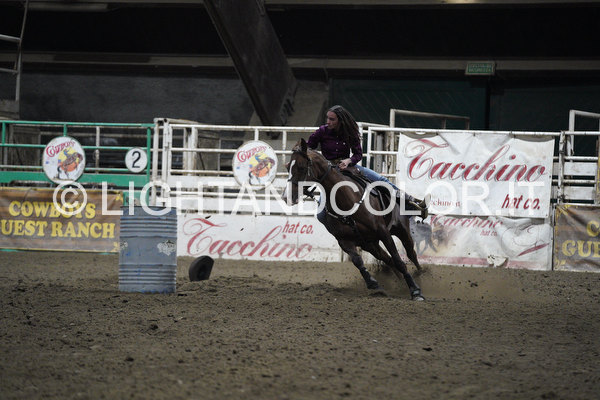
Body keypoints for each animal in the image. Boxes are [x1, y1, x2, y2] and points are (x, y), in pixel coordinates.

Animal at [282, 139, 426, 301]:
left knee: (410, 253)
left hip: (401, 230)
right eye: (287, 166)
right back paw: (399, 283)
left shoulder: (383, 232)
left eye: (300, 167)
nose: (286, 197)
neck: (346, 200)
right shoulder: (344, 240)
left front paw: (415, 291)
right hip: (369, 244)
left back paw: (420, 274)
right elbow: (358, 262)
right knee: (387, 259)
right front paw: (374, 284)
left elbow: (399, 260)